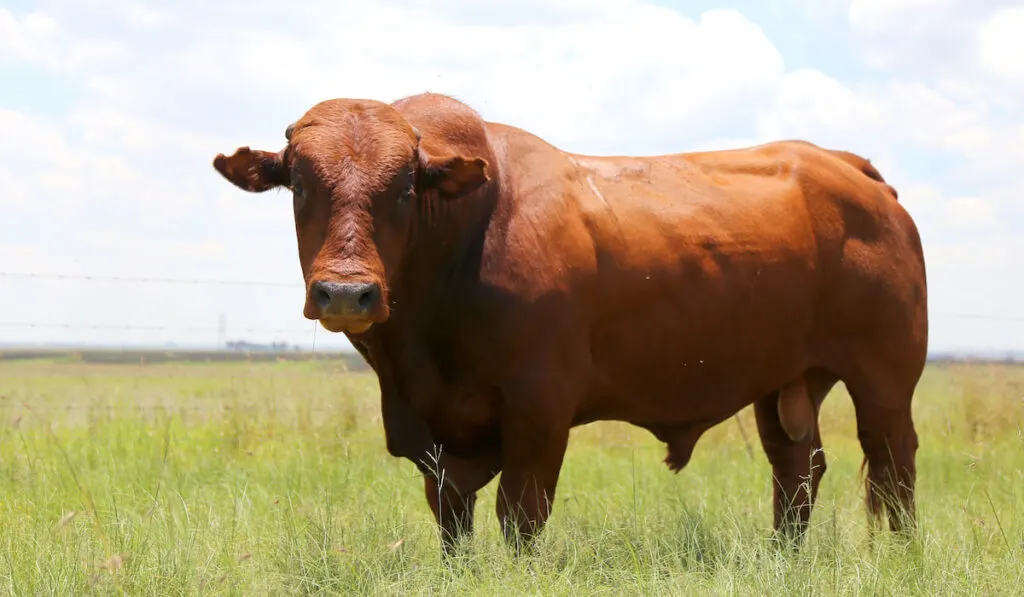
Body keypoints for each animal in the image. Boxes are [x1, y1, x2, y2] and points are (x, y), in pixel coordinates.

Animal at [214, 91, 929, 552]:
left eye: (405, 188)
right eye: (300, 185)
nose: (346, 292)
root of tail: (846, 166)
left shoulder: (539, 407)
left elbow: (521, 516)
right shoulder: (434, 440)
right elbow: (453, 522)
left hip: (885, 379)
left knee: (891, 466)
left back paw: (895, 556)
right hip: (784, 380)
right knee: (797, 467)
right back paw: (783, 557)